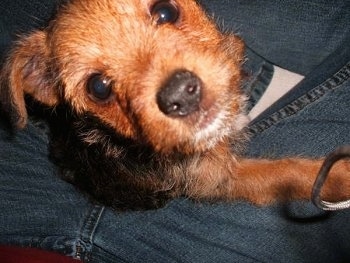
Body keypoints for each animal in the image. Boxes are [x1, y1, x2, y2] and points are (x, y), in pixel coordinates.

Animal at [0, 0, 350, 210]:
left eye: (166, 11)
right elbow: (282, 174)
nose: (180, 94)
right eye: (98, 88)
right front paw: (339, 176)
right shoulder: (217, 179)